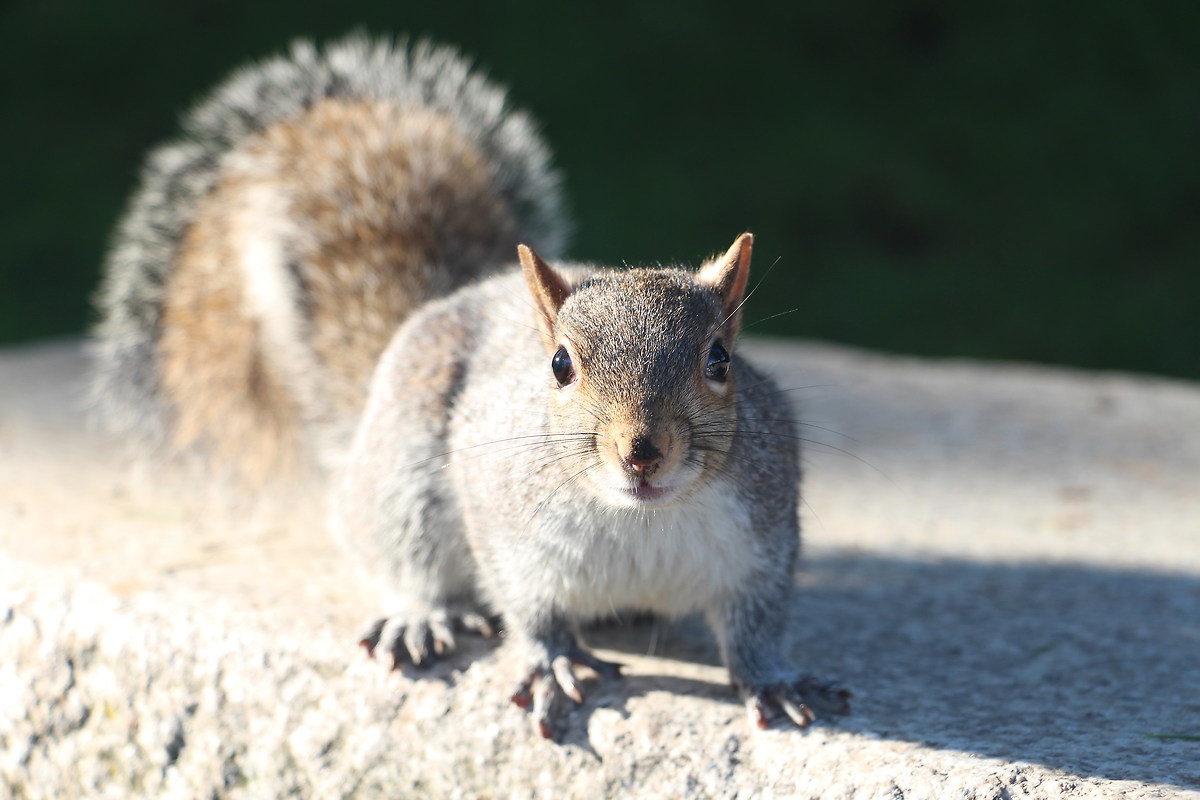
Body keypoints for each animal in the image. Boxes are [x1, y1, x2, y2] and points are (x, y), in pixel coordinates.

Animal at [91, 35, 849, 739]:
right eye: (560, 365)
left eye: (721, 360)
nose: (643, 451)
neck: (641, 518)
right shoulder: (507, 525)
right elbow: (529, 605)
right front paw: (551, 661)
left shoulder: (762, 539)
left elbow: (757, 624)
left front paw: (772, 679)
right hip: (402, 476)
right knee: (402, 550)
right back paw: (423, 616)